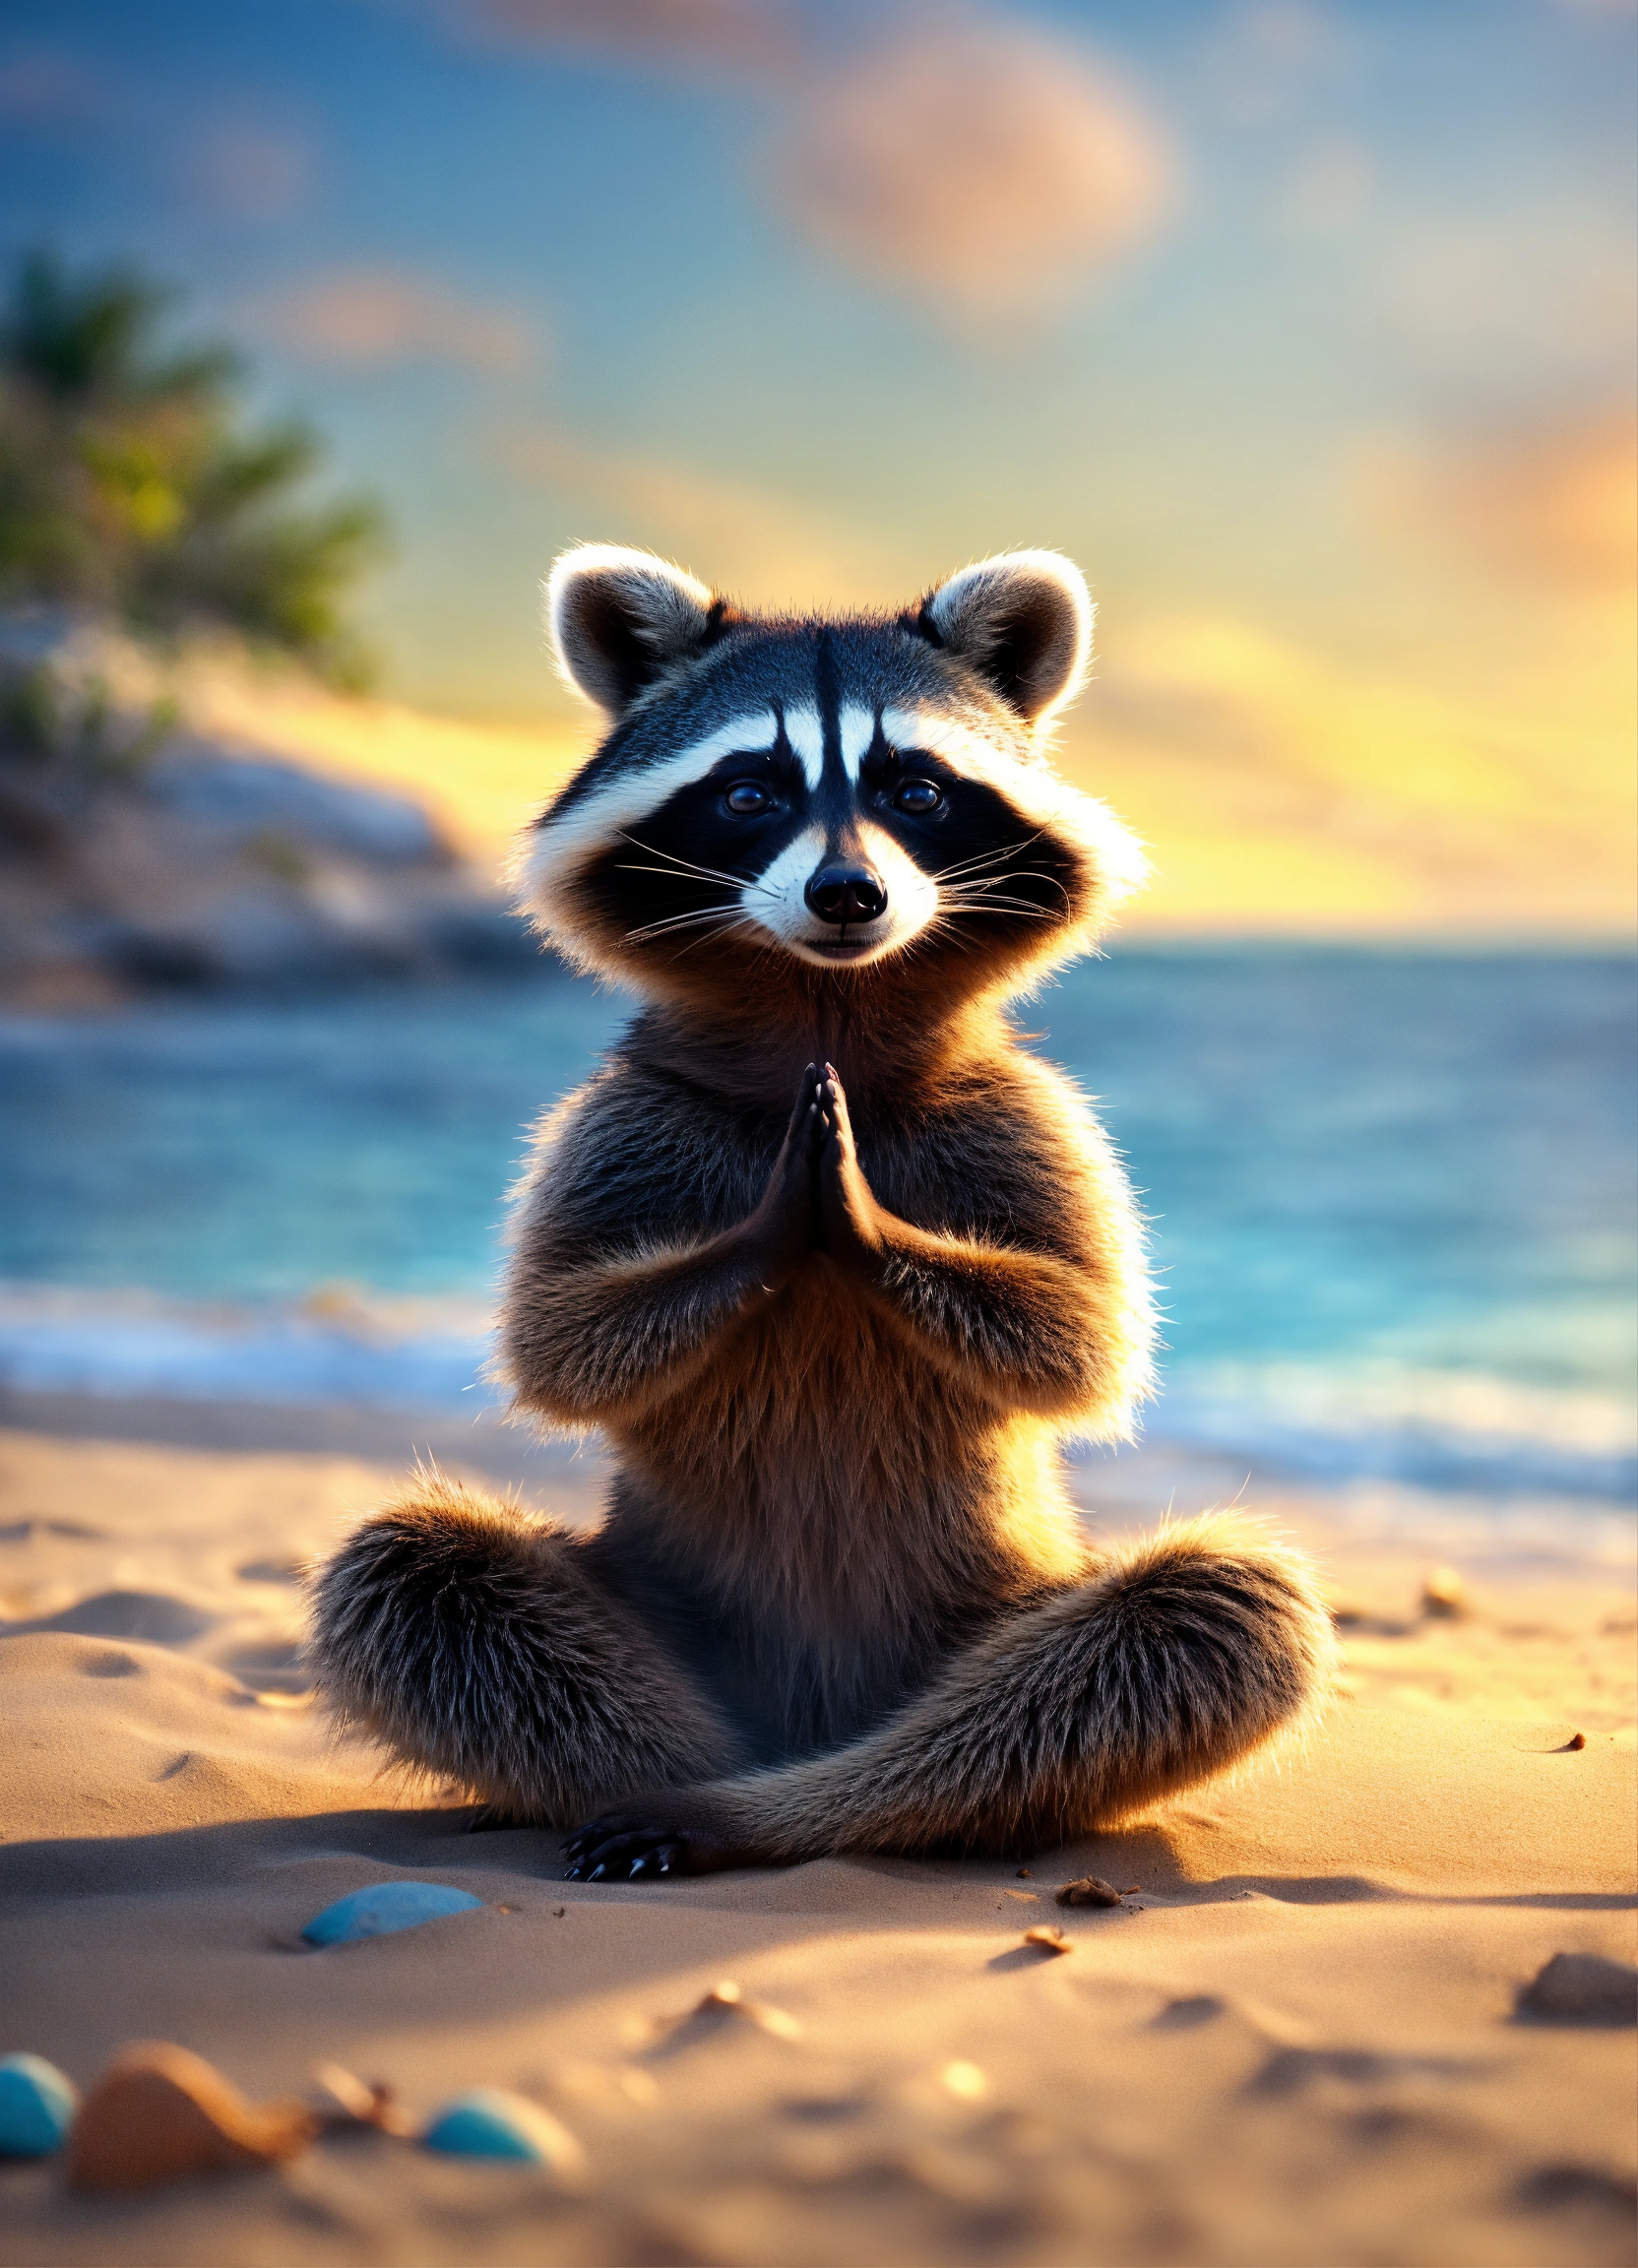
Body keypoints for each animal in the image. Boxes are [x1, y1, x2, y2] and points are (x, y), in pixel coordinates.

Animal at [308, 543, 1334, 1877]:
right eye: (750, 792)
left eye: (915, 788)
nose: (847, 894)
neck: (824, 1006)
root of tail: (815, 1726)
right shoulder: (623, 1115)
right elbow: (557, 1342)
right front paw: (772, 1229)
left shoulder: (1026, 1114)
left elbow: (1084, 1340)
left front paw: (859, 1221)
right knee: (417, 1576)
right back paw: (678, 1783)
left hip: (1002, 1602)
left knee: (1207, 1611)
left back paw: (785, 1808)